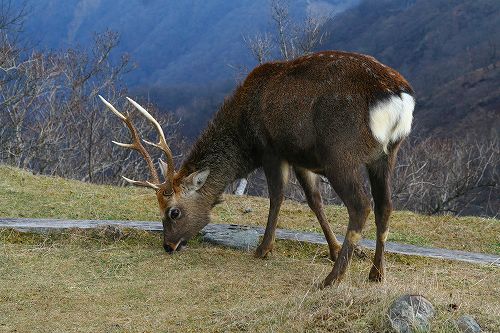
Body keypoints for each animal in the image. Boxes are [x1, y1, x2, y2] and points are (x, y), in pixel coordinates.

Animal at [97, 49, 414, 286]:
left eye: (173, 212)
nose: (168, 246)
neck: (245, 135)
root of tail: (397, 97)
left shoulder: (272, 149)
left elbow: (277, 198)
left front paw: (263, 249)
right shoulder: (300, 157)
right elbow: (315, 202)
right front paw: (334, 249)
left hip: (340, 154)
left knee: (361, 205)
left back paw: (331, 279)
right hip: (386, 154)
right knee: (385, 205)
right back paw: (376, 274)